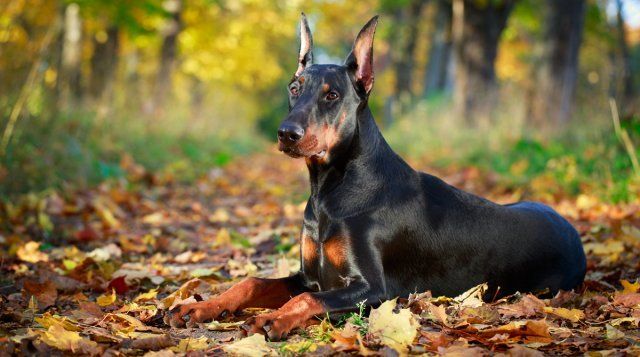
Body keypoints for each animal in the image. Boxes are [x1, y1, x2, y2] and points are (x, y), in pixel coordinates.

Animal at [168, 14, 588, 340]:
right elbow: (252, 282)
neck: (330, 190)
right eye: (294, 88)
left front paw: (274, 318)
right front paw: (200, 307)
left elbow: (307, 299)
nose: (286, 133)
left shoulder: (374, 290)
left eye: (332, 95)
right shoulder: (310, 275)